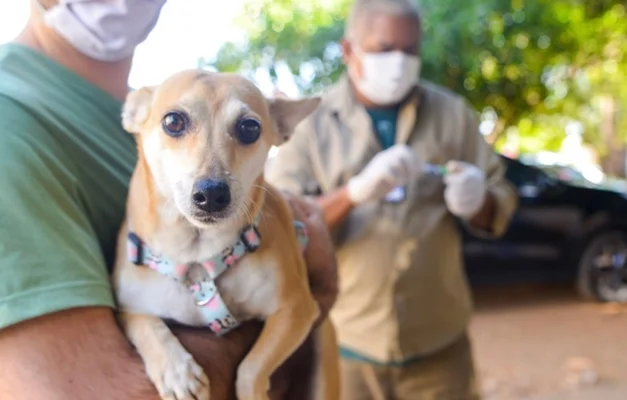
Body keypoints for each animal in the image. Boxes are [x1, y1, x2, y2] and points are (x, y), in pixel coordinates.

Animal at [112, 70, 338, 400]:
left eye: (249, 128)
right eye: (173, 121)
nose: (212, 194)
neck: (196, 256)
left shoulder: (296, 309)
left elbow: (252, 367)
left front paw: (251, 393)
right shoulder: (129, 308)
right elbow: (146, 325)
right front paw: (176, 371)